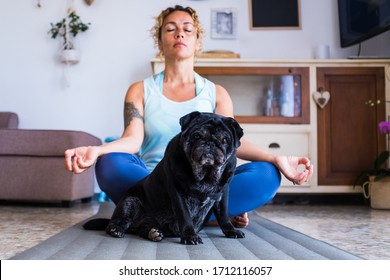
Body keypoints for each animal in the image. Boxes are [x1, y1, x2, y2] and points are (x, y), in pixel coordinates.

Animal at [84, 111, 245, 245]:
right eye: (197, 136)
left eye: (225, 140)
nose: (210, 143)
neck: (204, 175)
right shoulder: (178, 194)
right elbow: (185, 216)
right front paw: (190, 236)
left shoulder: (222, 194)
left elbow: (223, 215)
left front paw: (231, 230)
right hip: (129, 202)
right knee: (118, 222)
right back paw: (116, 229)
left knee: (143, 230)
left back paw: (153, 233)